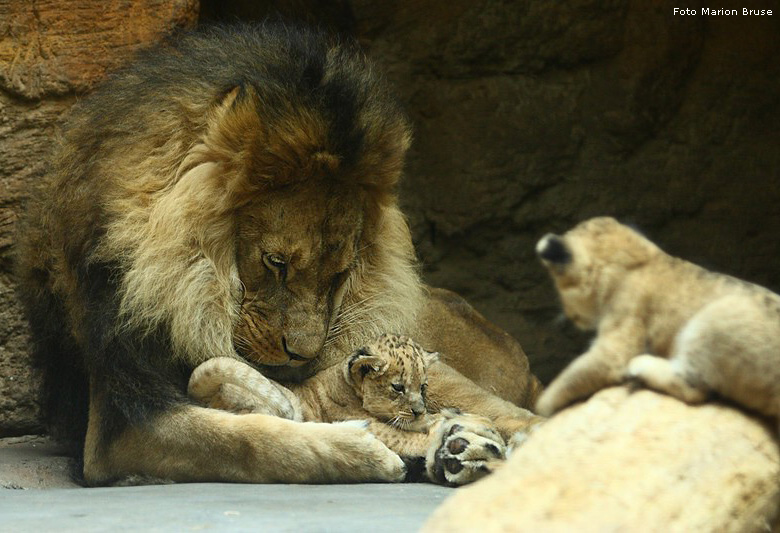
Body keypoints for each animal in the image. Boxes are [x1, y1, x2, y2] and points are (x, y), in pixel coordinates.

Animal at [16, 25, 544, 484]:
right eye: (276, 262)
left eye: (340, 274)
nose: (302, 355)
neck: (196, 292)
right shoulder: (120, 417)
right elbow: (241, 439)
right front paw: (359, 449)